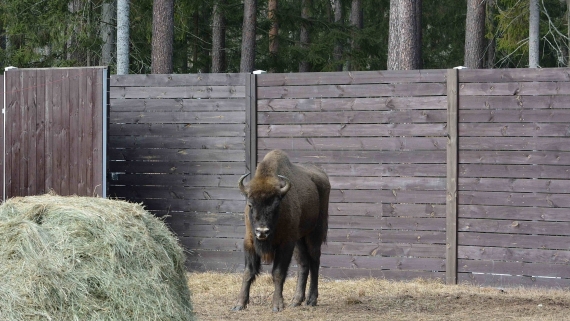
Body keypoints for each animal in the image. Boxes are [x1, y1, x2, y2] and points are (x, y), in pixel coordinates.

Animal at [231, 149, 328, 310]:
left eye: (276, 205)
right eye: (250, 204)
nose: (262, 231)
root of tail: (322, 176)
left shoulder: (286, 244)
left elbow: (278, 273)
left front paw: (277, 305)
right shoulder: (250, 242)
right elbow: (248, 272)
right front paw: (239, 304)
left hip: (314, 234)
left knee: (314, 261)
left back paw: (311, 300)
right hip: (299, 239)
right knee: (303, 264)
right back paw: (296, 301)